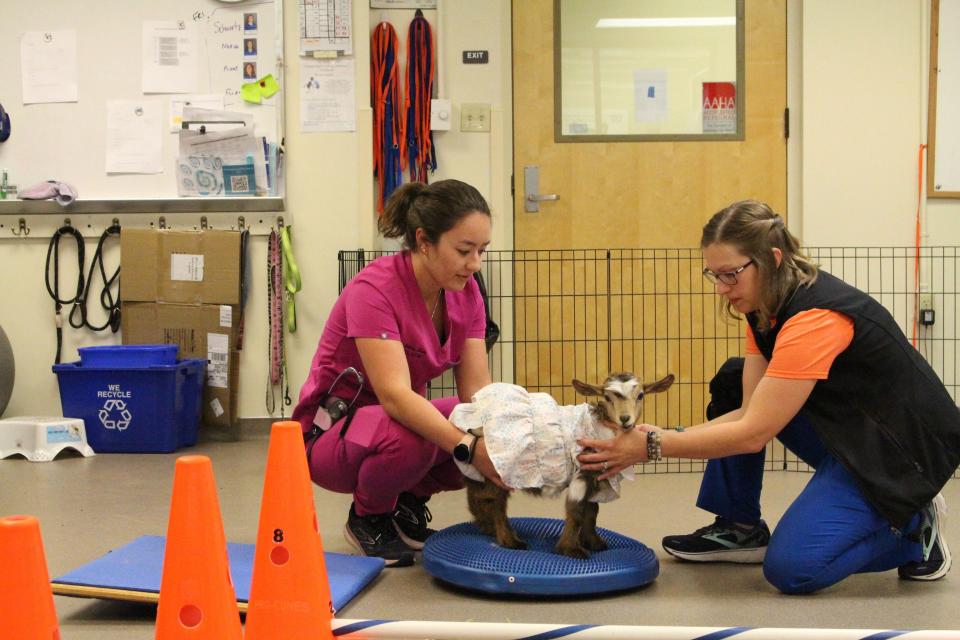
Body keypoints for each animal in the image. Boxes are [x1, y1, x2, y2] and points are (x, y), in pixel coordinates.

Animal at [460, 372, 676, 556]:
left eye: (640, 395)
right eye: (607, 397)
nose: (625, 419)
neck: (600, 427)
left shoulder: (596, 477)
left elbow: (592, 511)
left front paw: (594, 542)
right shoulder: (583, 473)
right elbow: (577, 511)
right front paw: (571, 549)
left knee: (479, 497)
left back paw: (487, 527)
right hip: (496, 470)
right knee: (494, 502)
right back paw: (510, 540)